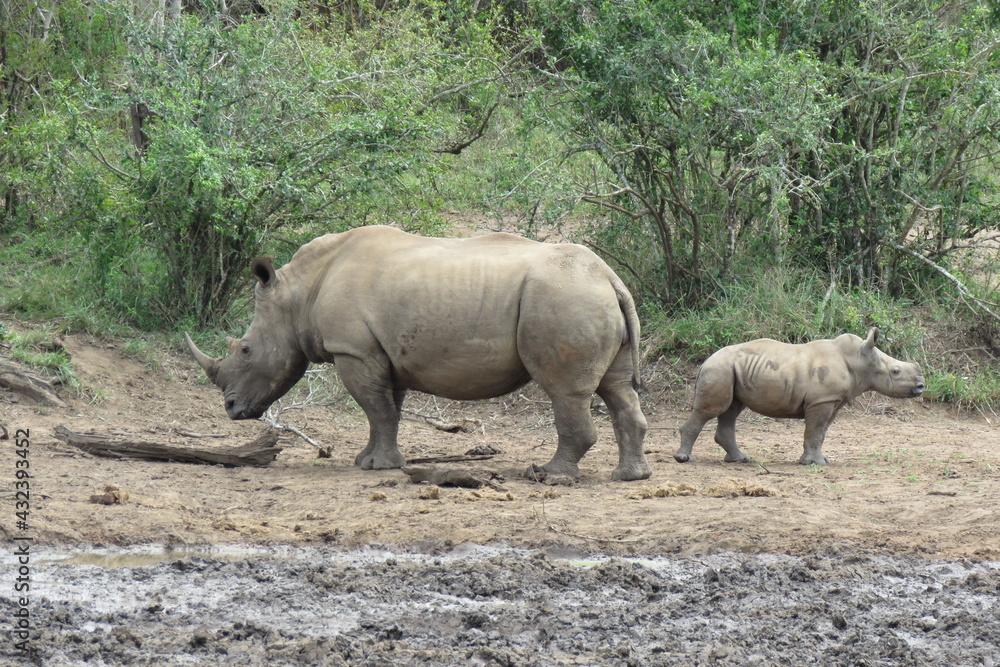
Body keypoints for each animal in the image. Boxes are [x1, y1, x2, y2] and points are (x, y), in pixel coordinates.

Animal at [186, 225, 651, 481]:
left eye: (246, 350)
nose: (230, 409)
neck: (298, 291)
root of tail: (611, 278)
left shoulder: (352, 350)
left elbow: (376, 408)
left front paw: (379, 467)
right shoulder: (380, 352)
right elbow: (387, 409)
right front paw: (368, 462)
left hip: (565, 299)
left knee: (565, 392)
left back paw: (549, 476)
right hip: (587, 297)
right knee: (617, 389)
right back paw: (630, 477)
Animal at [674, 328, 924, 465]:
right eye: (896, 372)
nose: (921, 386)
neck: (859, 359)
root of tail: (705, 361)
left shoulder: (832, 400)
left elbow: (821, 432)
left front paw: (822, 460)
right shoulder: (822, 400)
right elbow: (814, 430)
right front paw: (814, 464)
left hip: (730, 369)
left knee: (731, 410)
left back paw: (741, 460)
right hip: (719, 368)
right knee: (712, 410)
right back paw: (685, 459)